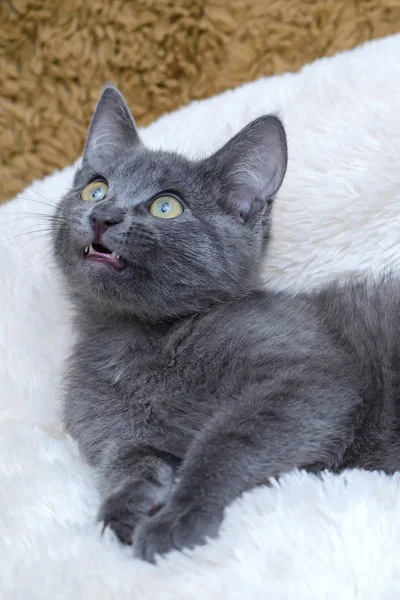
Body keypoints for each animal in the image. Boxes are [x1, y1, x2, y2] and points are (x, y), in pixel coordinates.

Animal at [53, 85, 400, 564]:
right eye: (96, 188)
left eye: (166, 206)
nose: (104, 215)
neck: (135, 338)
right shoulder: (117, 429)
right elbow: (131, 462)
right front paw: (123, 510)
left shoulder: (310, 377)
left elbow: (227, 441)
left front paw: (179, 517)